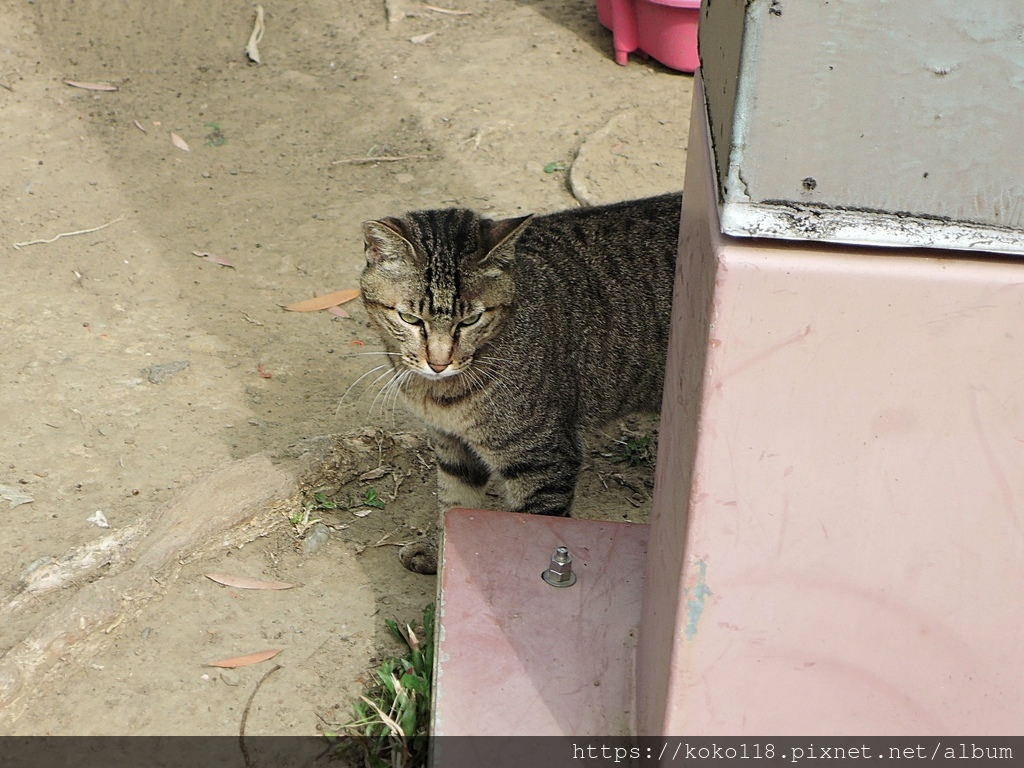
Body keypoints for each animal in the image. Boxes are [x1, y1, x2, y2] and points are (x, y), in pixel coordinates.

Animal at [358, 195, 679, 573]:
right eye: (409, 318)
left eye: (471, 320)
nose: (438, 363)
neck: (440, 395)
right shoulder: (452, 446)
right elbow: (454, 503)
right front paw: (441, 552)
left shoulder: (542, 459)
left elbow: (534, 531)